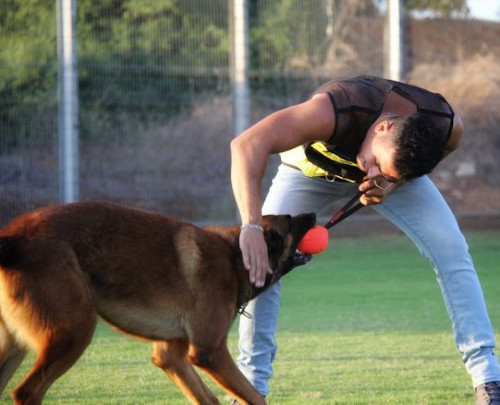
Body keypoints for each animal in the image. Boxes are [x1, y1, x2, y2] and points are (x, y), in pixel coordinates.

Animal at [0, 202, 314, 404]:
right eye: (291, 220)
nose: (311, 214)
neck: (236, 255)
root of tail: (13, 237)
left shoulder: (170, 357)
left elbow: (209, 398)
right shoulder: (210, 353)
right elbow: (255, 398)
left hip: (16, 346)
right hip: (74, 333)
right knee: (27, 392)